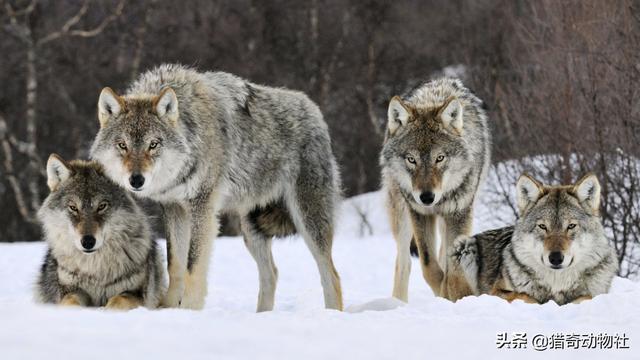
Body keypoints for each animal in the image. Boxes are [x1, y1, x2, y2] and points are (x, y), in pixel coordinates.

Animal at [35, 155, 166, 310]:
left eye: (102, 206)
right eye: (73, 207)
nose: (88, 242)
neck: (95, 270)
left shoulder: (136, 294)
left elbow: (118, 301)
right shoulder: (70, 290)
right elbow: (70, 302)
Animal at [89, 63, 344, 310]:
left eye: (153, 145)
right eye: (122, 145)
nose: (136, 180)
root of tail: (314, 110)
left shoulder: (202, 207)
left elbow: (193, 266)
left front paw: (189, 310)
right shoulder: (174, 208)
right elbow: (175, 264)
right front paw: (168, 308)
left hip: (308, 221)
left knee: (331, 275)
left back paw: (332, 313)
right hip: (251, 229)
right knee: (271, 274)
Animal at [380, 78, 490, 300]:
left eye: (440, 158)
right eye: (411, 159)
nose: (427, 197)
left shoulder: (459, 213)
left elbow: (452, 267)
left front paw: (453, 294)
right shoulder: (420, 213)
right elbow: (429, 266)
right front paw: (443, 292)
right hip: (402, 216)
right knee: (404, 263)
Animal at [452, 173, 616, 306]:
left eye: (571, 226)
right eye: (543, 226)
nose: (556, 258)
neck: (556, 284)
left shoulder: (596, 293)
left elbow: (587, 297)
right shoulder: (495, 292)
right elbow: (525, 296)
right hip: (464, 247)